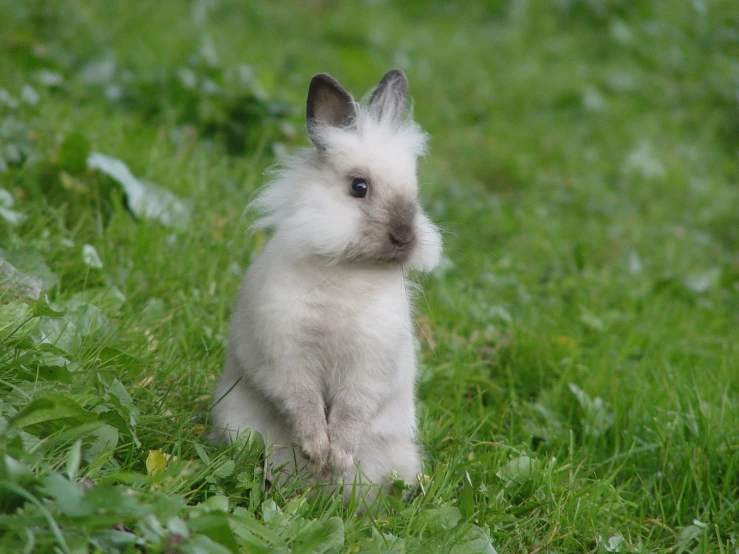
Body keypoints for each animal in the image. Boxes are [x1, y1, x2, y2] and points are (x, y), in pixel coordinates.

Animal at [212, 69, 446, 500]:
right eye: (359, 187)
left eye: (415, 191)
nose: (405, 237)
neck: (347, 271)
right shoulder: (286, 354)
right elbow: (302, 402)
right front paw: (318, 451)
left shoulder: (368, 365)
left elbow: (352, 412)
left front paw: (336, 460)